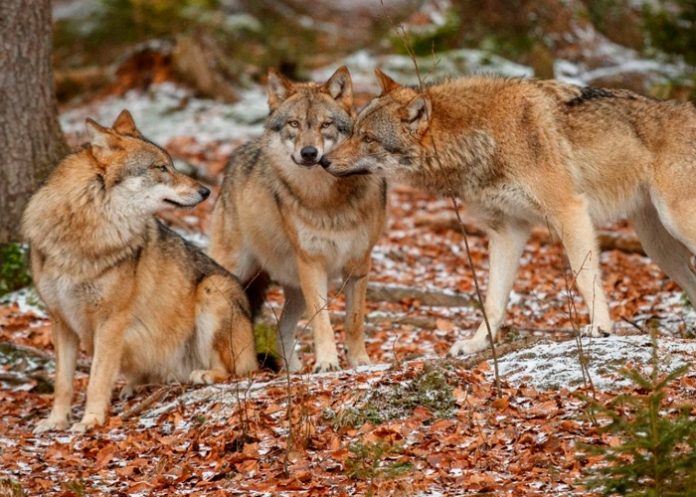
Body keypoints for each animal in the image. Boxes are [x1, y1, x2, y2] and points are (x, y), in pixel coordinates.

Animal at [23, 110, 258, 433]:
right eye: (161, 168)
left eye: (171, 165)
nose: (206, 191)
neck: (85, 233)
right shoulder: (61, 320)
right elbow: (63, 383)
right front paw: (56, 421)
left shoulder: (111, 321)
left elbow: (97, 380)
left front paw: (90, 421)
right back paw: (134, 386)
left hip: (213, 290)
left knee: (238, 371)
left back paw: (204, 374)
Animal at [209, 67, 387, 372]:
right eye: (294, 123)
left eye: (326, 124)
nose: (309, 153)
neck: (326, 200)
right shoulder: (312, 263)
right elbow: (323, 321)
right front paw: (327, 363)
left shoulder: (359, 264)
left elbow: (354, 321)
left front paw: (360, 361)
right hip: (234, 273)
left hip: (294, 288)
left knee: (281, 329)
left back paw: (292, 371)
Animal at [322, 69, 696, 356]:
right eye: (352, 131)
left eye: (368, 138)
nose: (323, 160)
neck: (482, 137)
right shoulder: (507, 231)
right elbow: (492, 301)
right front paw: (476, 345)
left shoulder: (569, 211)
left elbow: (584, 275)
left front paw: (601, 326)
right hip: (658, 246)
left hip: (676, 223)